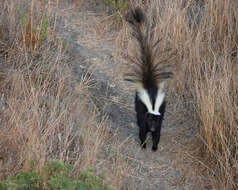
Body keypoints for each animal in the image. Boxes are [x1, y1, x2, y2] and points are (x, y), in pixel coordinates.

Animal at [123, 7, 174, 151]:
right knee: (137, 113)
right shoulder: (144, 115)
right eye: (150, 121)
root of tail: (149, 81)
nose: (152, 128)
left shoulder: (159, 117)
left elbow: (158, 134)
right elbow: (142, 130)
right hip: (137, 100)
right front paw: (144, 144)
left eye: (154, 123)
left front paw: (154, 146)